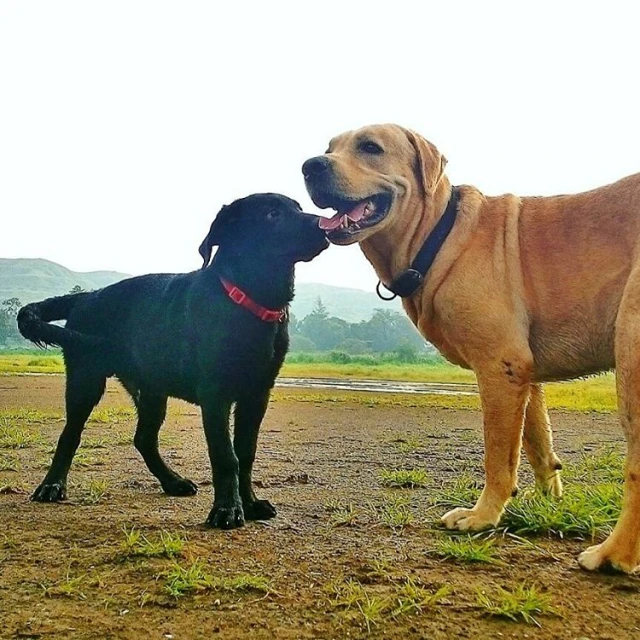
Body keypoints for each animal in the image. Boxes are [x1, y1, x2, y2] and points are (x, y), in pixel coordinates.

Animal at [17, 194, 328, 528]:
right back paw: (52, 485)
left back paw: (173, 482)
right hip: (85, 381)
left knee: (143, 439)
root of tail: (87, 296)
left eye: (298, 208)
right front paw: (227, 509)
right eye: (272, 214)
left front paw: (250, 503)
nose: (325, 227)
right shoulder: (215, 394)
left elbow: (245, 453)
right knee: (70, 436)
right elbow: (225, 455)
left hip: (151, 391)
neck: (247, 300)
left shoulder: (257, 394)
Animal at [302, 122, 640, 572]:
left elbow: (499, 457)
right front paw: (545, 506)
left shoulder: (499, 366)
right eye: (329, 148)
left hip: (631, 354)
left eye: (370, 147)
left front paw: (483, 516)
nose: (309, 166)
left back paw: (613, 555)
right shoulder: (525, 372)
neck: (437, 235)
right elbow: (538, 449)